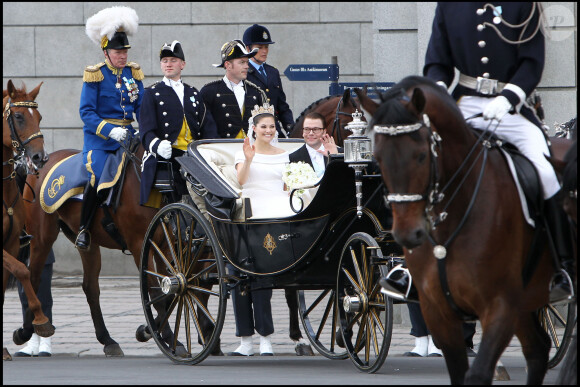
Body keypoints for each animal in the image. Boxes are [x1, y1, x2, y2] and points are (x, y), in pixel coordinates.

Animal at [372, 76, 572, 384]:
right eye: (377, 157)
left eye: (421, 156)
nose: (408, 234)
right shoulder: (438, 312)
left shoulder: (500, 305)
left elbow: (477, 374)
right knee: (538, 348)